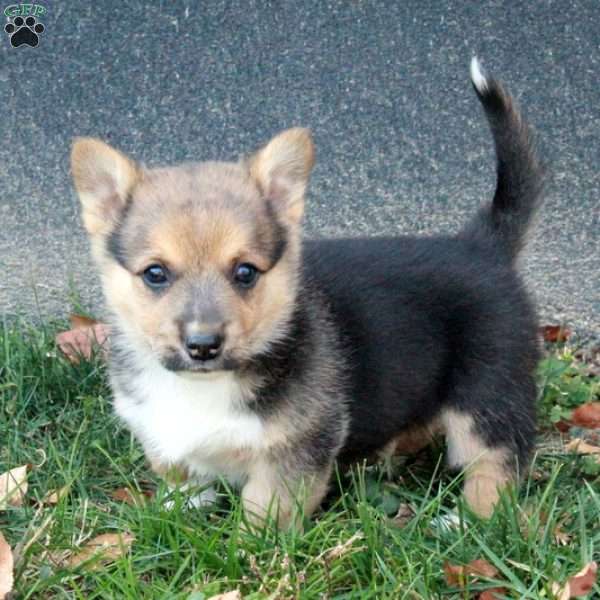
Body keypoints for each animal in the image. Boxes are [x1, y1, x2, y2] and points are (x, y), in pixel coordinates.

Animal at [71, 59, 544, 524]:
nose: (203, 346)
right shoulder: (160, 434)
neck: (204, 385)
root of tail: (483, 242)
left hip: (486, 393)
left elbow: (264, 509)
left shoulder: (295, 450)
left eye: (245, 272)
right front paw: (179, 508)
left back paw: (469, 520)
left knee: (499, 462)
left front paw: (252, 543)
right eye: (155, 274)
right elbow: (181, 474)